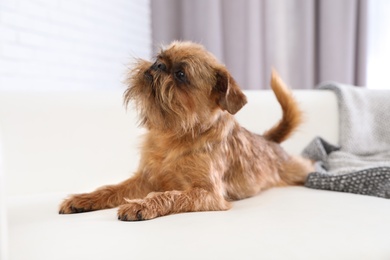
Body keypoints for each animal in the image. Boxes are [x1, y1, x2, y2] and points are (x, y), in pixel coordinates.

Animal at [58, 41, 314, 220]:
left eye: (181, 75)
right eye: (159, 58)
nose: (158, 65)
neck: (174, 133)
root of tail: (268, 140)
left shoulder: (208, 194)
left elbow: (170, 195)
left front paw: (141, 205)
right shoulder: (144, 179)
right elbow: (112, 188)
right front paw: (84, 198)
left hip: (295, 170)